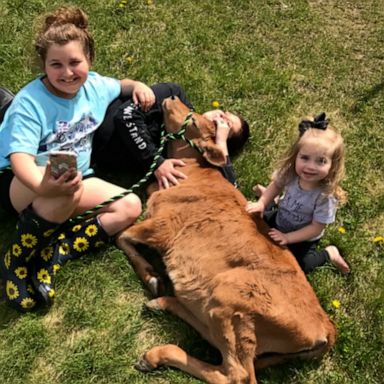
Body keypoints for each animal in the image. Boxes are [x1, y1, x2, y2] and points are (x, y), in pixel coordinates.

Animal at [117, 97, 336, 384]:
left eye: (193, 120)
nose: (172, 98)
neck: (193, 171)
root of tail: (326, 326)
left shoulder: (162, 225)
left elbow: (122, 236)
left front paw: (151, 276)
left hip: (229, 298)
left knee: (236, 373)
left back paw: (156, 354)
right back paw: (163, 304)